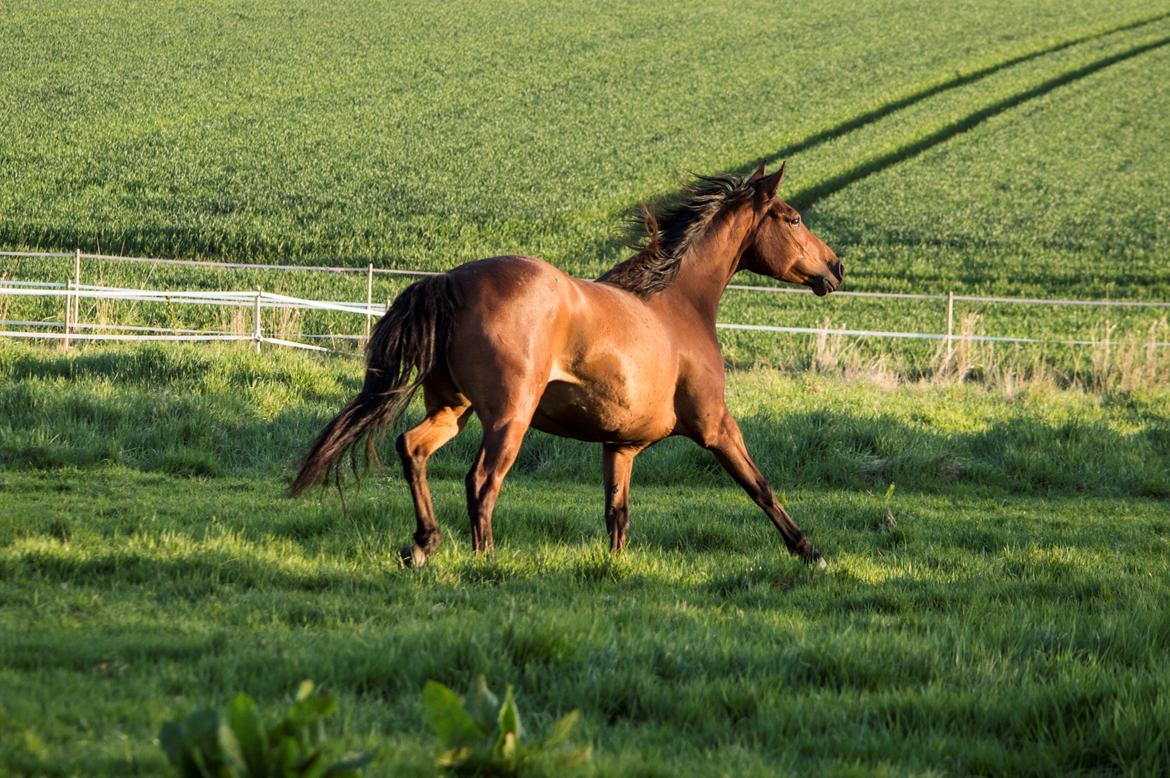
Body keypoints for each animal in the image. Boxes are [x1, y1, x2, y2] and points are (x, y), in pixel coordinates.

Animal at [290, 162, 842, 563]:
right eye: (794, 218)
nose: (835, 268)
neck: (680, 304)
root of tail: (450, 280)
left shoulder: (620, 447)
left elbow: (617, 515)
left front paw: (616, 567)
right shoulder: (715, 426)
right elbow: (761, 487)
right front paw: (810, 553)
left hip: (452, 410)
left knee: (413, 448)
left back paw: (424, 545)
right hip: (509, 417)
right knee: (481, 482)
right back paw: (485, 560)